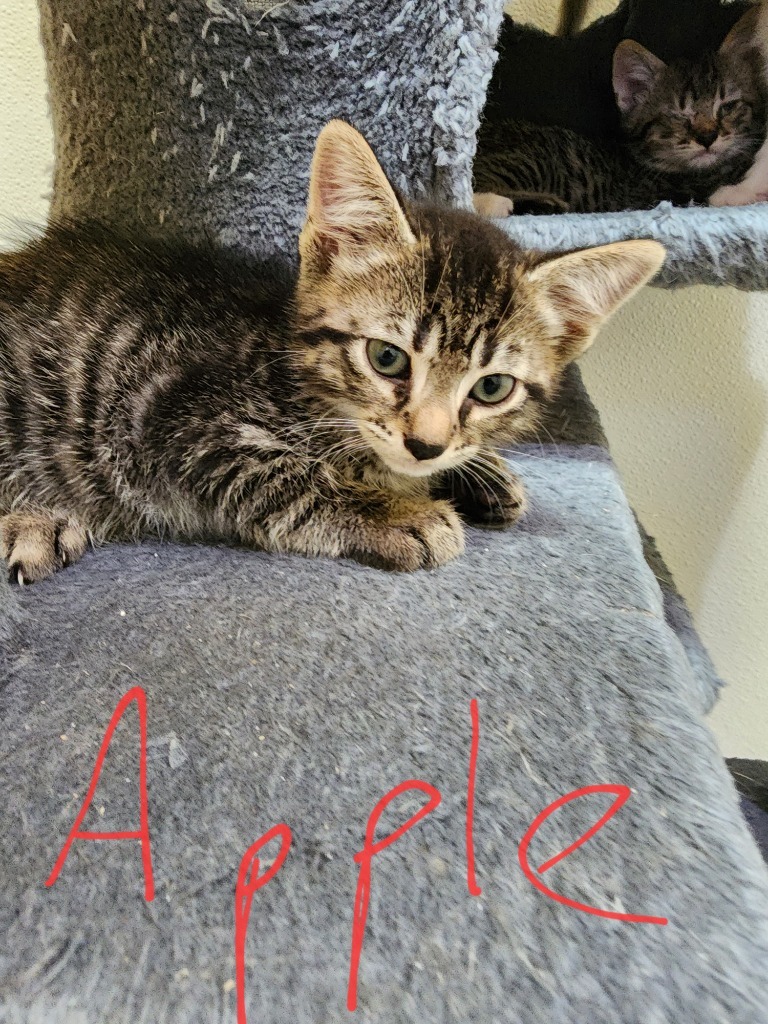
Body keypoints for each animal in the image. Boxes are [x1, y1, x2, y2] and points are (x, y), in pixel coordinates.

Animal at [0, 118, 663, 581]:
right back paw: (38, 520)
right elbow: (288, 474)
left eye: (492, 387)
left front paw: (482, 475)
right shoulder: (171, 421)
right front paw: (400, 513)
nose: (426, 445)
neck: (288, 365)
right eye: (387, 358)